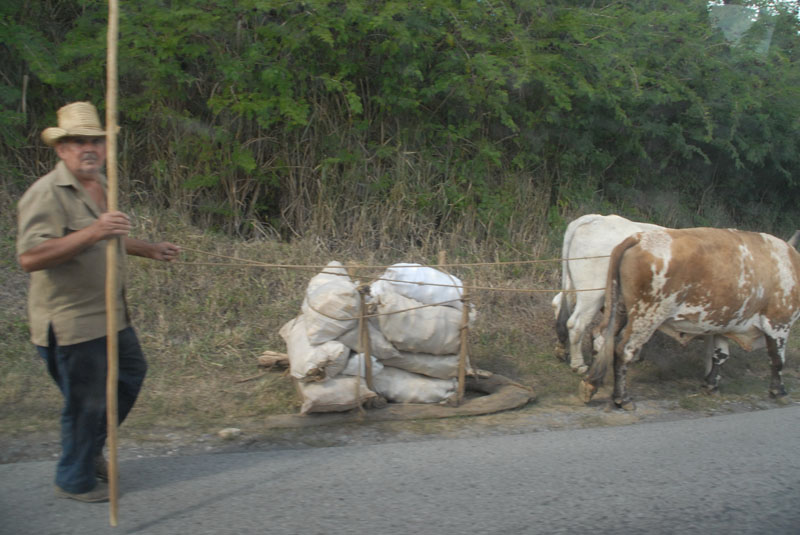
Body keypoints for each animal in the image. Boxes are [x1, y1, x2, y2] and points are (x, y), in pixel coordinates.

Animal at [580, 227, 800, 410]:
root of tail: (639, 238)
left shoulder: (725, 324)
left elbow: (720, 356)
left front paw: (711, 385)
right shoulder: (779, 323)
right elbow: (777, 360)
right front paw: (779, 391)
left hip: (619, 310)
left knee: (600, 337)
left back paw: (591, 385)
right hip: (646, 316)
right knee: (624, 351)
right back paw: (622, 398)